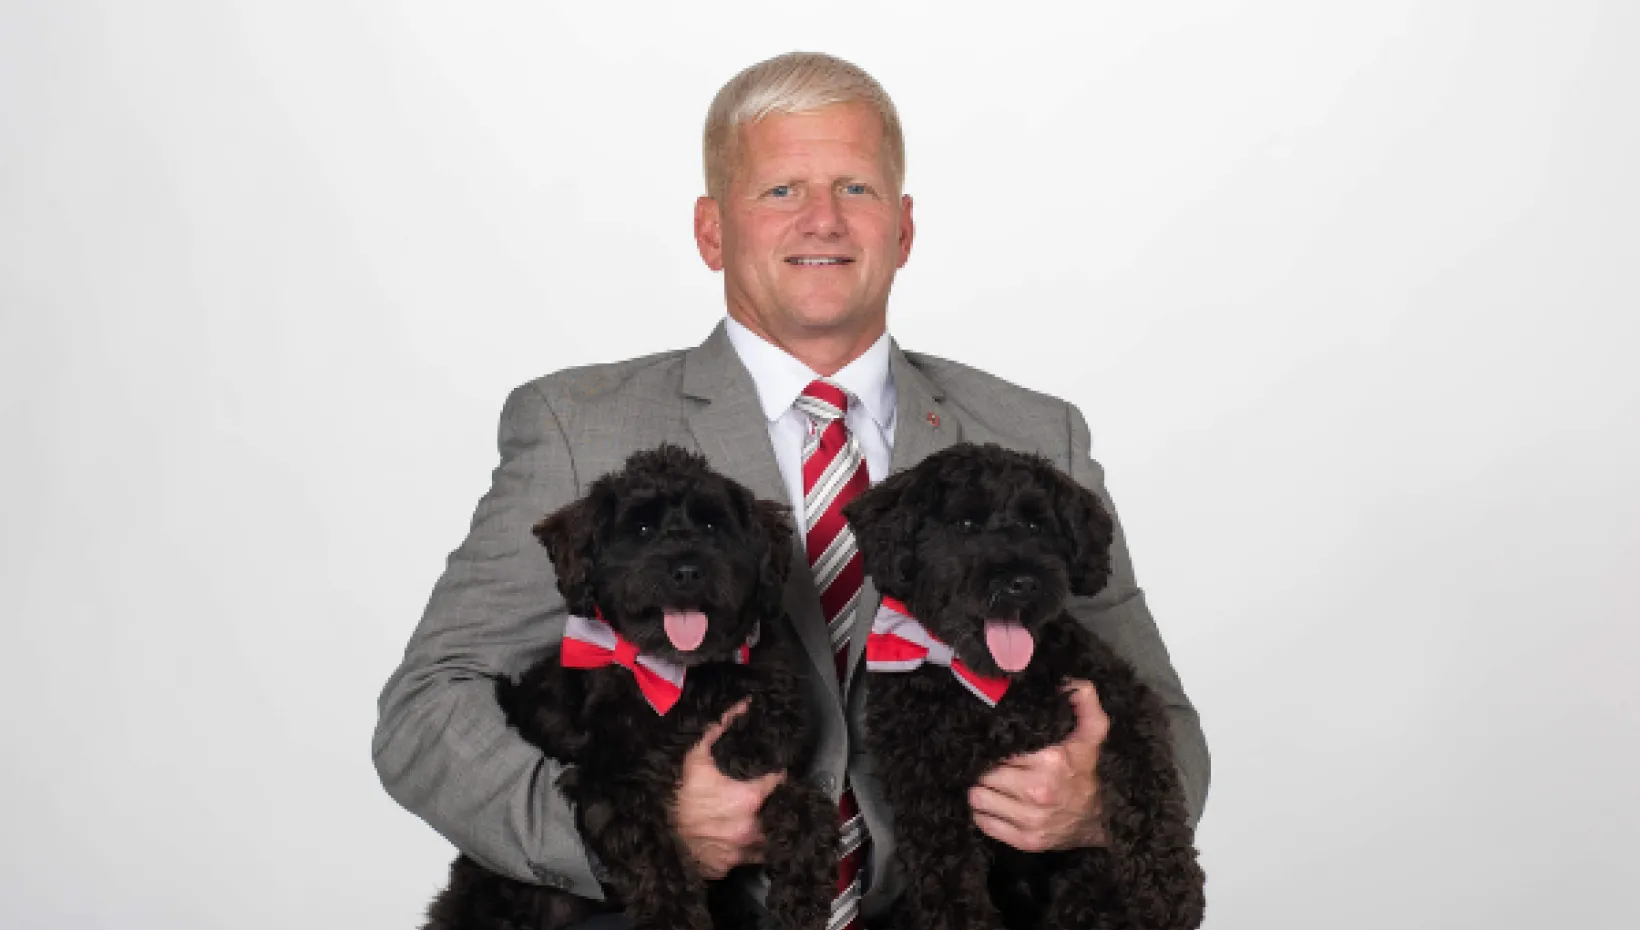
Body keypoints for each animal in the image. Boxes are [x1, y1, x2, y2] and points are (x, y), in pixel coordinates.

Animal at [426, 442, 833, 930]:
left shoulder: (770, 773)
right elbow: (655, 860)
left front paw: (801, 897)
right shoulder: (611, 785)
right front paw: (676, 921)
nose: (686, 570)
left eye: (712, 525)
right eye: (640, 528)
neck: (687, 676)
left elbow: (808, 806)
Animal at [846, 442, 1207, 930]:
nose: (1023, 582)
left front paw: (1170, 886)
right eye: (965, 524)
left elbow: (1148, 786)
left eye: (1038, 525)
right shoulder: (925, 792)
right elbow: (949, 882)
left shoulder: (1125, 701)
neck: (988, 687)